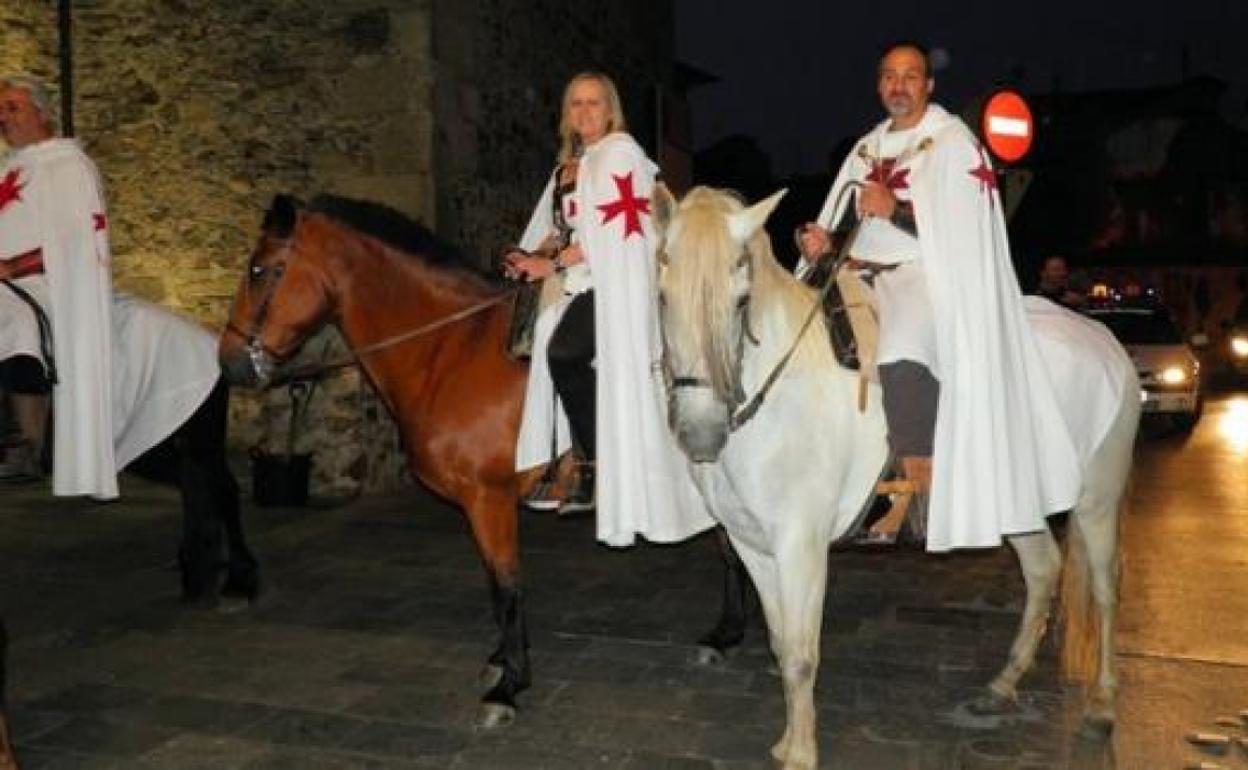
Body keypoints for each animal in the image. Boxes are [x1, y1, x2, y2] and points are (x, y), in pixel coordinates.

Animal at [219, 193, 541, 728]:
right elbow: (498, 585)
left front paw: (509, 687)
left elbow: (506, 586)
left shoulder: (489, 498)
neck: (457, 348)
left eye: (259, 269)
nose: (229, 364)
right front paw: (501, 664)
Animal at [653, 185, 1143, 768]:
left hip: (1097, 496)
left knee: (1106, 587)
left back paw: (1104, 706)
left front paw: (800, 753)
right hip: (1018, 504)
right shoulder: (754, 545)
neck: (782, 388)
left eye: (741, 299)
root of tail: (1104, 338)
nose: (701, 434)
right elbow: (779, 642)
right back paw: (1002, 685)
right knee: (1044, 568)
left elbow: (800, 654)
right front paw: (788, 741)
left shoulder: (801, 546)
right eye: (662, 298)